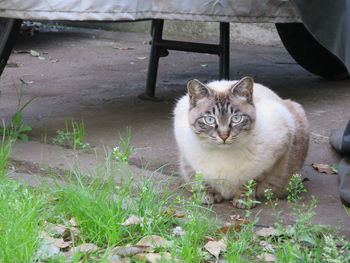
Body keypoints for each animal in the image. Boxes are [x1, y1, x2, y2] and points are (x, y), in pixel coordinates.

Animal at [174, 77, 308, 210]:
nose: (224, 136)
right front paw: (209, 196)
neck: (223, 155)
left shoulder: (274, 155)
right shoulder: (192, 163)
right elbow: (204, 181)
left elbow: (251, 182)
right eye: (210, 120)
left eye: (236, 118)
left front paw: (243, 200)